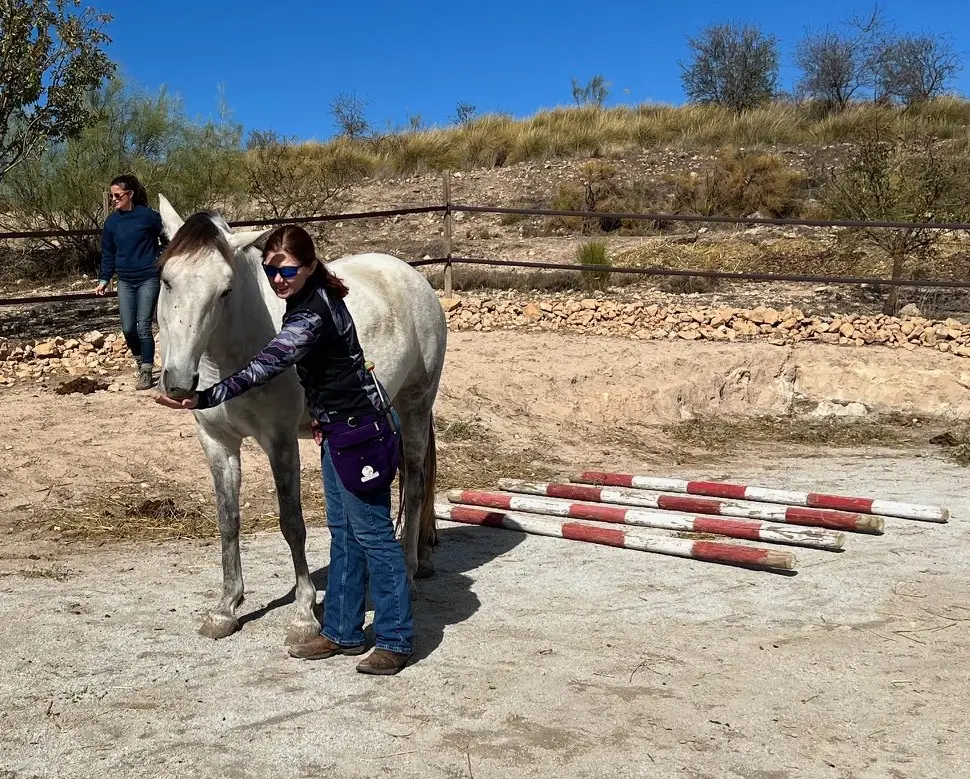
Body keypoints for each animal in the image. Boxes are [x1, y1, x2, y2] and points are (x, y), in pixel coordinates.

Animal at [157, 198, 448, 644]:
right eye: (167, 280)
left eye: (224, 290)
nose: (178, 382)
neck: (230, 356)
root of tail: (410, 275)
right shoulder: (218, 442)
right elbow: (228, 520)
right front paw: (225, 608)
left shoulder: (280, 442)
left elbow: (291, 522)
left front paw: (304, 615)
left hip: (416, 405)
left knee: (415, 484)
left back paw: (410, 572)